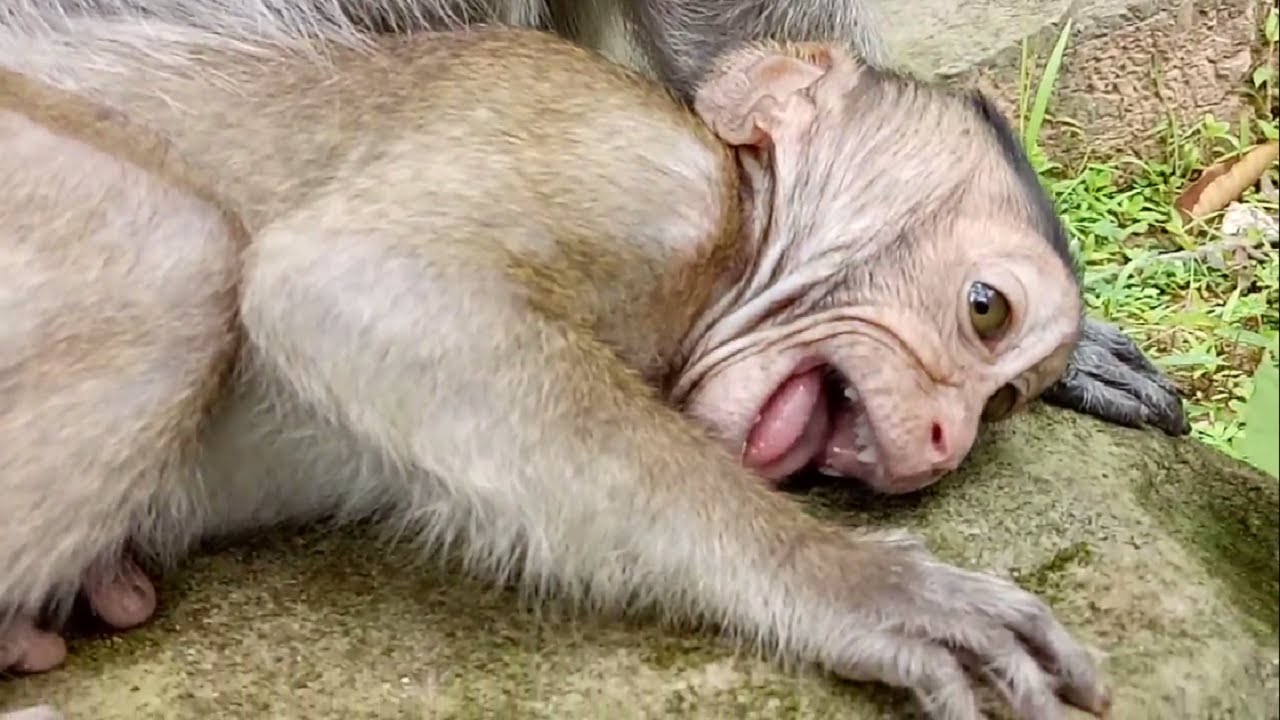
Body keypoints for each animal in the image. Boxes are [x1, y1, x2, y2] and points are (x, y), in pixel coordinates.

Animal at [0, 18, 1117, 720]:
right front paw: (844, 582)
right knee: (175, 261)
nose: (943, 439)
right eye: (986, 311)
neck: (732, 239)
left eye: (1000, 402)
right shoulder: (628, 167)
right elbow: (347, 278)